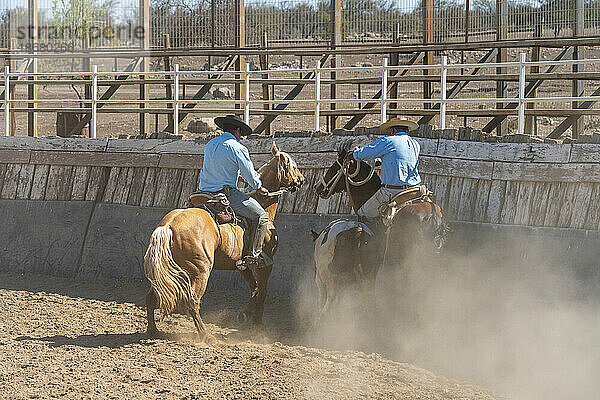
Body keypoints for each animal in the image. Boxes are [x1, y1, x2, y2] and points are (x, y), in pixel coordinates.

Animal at [144, 142, 304, 342]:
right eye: (294, 166)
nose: (301, 179)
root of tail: (168, 226)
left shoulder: (240, 265)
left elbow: (254, 288)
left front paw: (245, 314)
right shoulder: (266, 264)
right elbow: (262, 291)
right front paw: (257, 324)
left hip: (168, 270)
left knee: (152, 297)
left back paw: (153, 330)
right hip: (200, 270)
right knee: (193, 301)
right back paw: (206, 336)